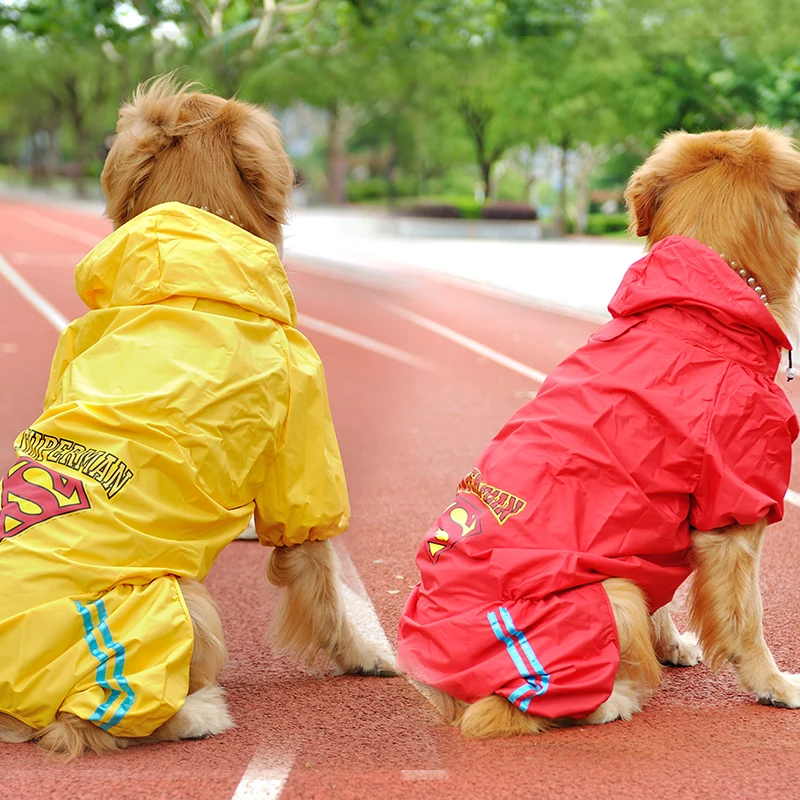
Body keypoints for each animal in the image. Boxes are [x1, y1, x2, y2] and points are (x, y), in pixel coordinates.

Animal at [0, 78, 394, 760]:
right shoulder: (303, 462)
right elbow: (322, 581)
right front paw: (366, 654)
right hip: (181, 603)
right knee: (90, 723)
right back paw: (199, 711)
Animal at [398, 126, 800, 736]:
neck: (695, 311)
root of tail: (438, 685)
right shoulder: (735, 511)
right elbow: (746, 619)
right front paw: (773, 685)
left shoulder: (659, 526)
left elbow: (665, 588)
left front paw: (672, 645)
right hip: (605, 597)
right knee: (511, 708)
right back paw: (614, 699)